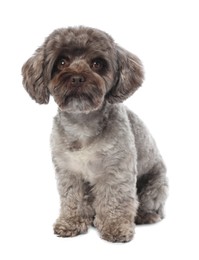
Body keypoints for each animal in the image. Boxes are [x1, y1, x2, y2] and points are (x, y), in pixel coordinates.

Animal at [21, 25, 168, 242]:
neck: (83, 124)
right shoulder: (69, 172)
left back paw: (144, 215)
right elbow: (72, 198)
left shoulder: (116, 171)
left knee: (149, 205)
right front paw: (71, 222)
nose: (76, 77)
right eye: (62, 62)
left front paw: (115, 226)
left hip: (154, 186)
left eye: (97, 63)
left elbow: (115, 200)